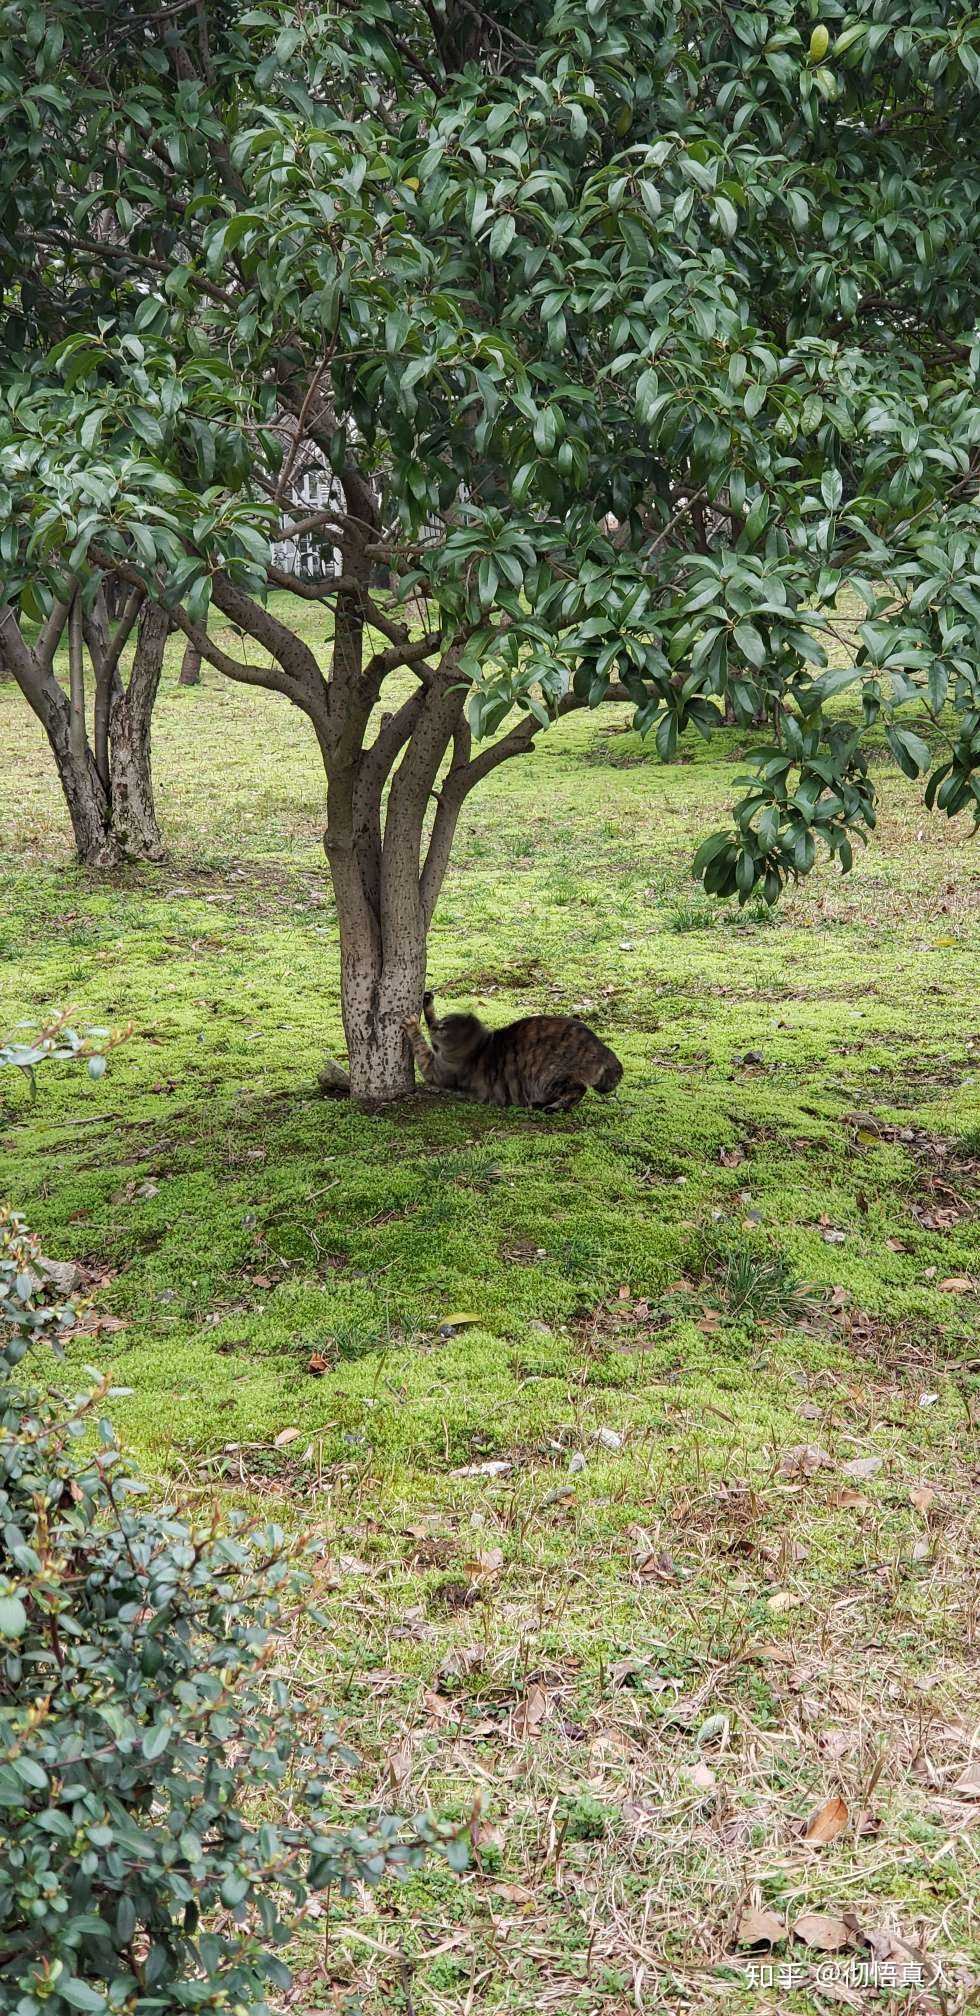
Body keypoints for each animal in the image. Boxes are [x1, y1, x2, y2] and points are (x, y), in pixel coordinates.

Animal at [403, 987, 621, 1112]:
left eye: (443, 1027)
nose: (437, 1027)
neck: (479, 1047)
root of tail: (600, 1047)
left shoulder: (436, 1069)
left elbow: (422, 1046)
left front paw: (414, 1025)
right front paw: (428, 1002)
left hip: (550, 1077)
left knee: (578, 1089)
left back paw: (554, 1106)